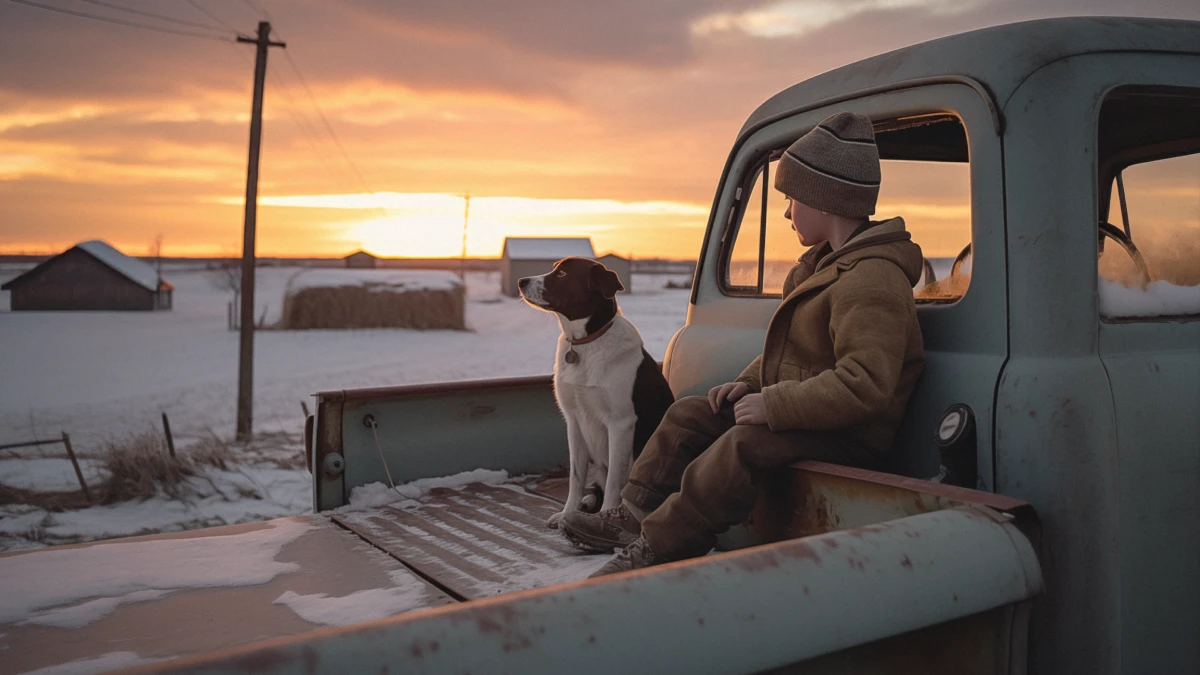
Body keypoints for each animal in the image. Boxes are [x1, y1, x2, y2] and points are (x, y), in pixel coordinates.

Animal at [516, 255, 676, 526]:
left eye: (562, 274)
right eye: (554, 268)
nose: (520, 281)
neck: (585, 342)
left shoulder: (620, 423)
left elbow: (614, 481)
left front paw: (605, 516)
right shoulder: (573, 421)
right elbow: (576, 478)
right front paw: (568, 514)